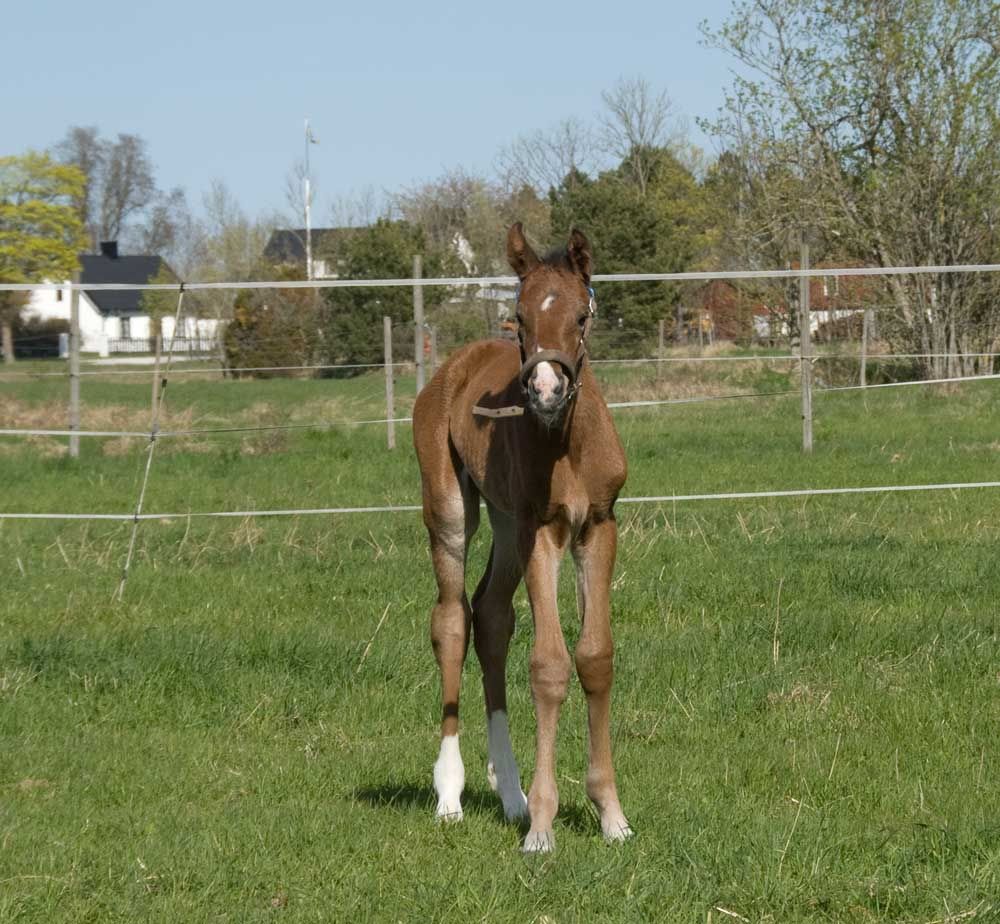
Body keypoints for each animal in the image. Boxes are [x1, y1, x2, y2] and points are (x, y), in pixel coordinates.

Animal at [410, 222, 628, 852]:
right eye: (520, 316)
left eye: (580, 315)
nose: (546, 390)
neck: (566, 443)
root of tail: (457, 363)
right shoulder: (542, 531)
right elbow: (550, 666)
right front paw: (543, 828)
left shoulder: (598, 526)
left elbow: (595, 657)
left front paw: (611, 815)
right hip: (453, 511)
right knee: (452, 620)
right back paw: (452, 793)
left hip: (506, 527)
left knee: (491, 617)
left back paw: (511, 794)